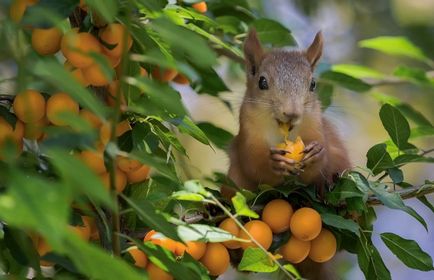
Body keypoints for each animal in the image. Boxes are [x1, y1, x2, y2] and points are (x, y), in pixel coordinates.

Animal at [225, 29, 350, 197]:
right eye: (262, 82)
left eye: (313, 84)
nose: (292, 113)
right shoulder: (248, 131)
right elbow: (253, 164)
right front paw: (275, 162)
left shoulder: (315, 126)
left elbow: (318, 168)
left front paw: (316, 155)